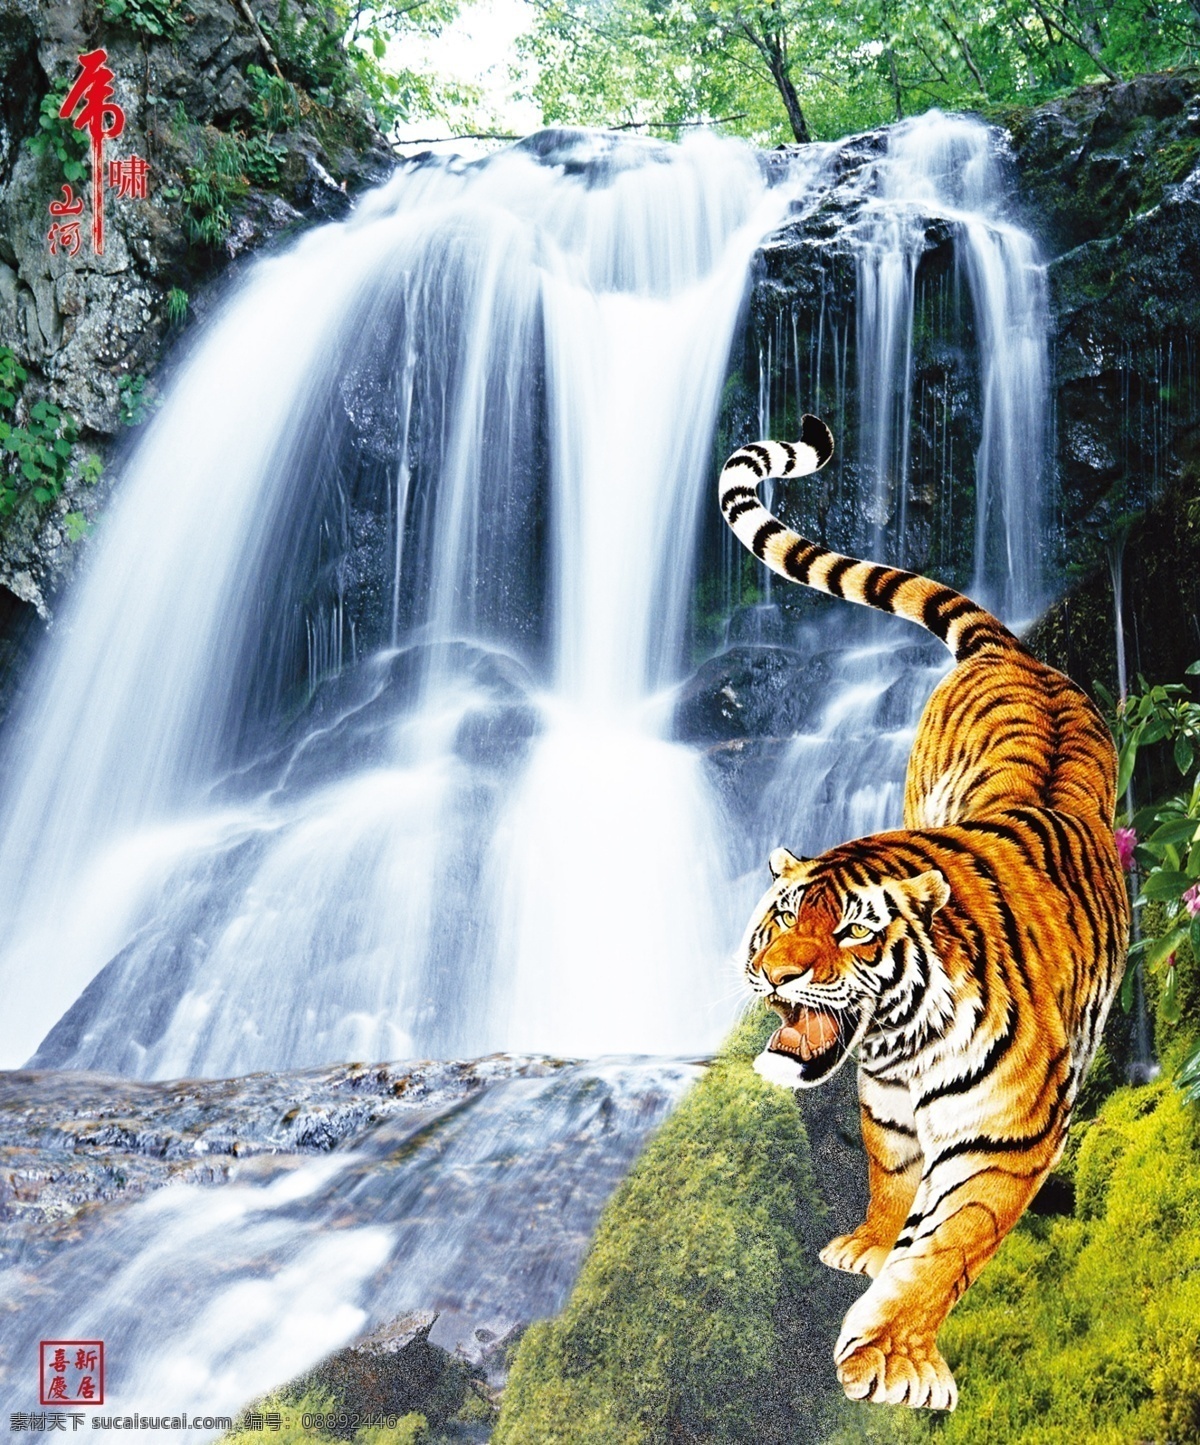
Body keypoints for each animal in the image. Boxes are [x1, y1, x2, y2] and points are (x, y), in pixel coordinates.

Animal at [718, 415, 1129, 1411]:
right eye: (781, 917)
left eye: (854, 930)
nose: (776, 973)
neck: (905, 1040)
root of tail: (1015, 651)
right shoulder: (886, 1101)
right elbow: (890, 1172)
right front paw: (869, 1246)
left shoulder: (1007, 1137)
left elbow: (949, 1240)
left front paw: (890, 1355)